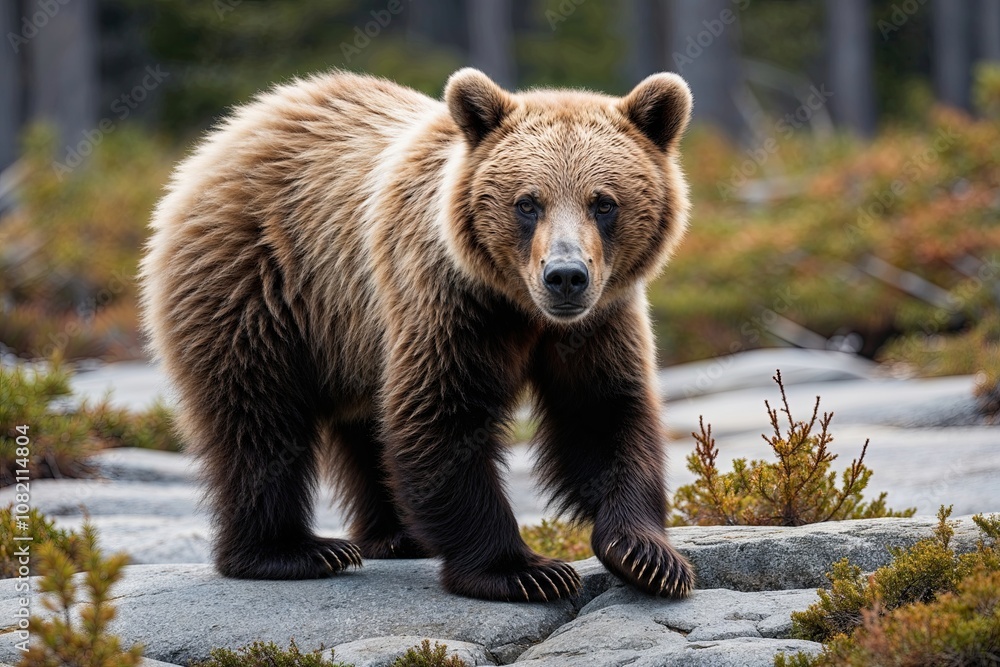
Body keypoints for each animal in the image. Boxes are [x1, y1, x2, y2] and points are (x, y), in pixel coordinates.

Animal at [139, 67, 695, 602]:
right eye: (527, 203)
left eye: (603, 203)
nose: (565, 275)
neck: (520, 308)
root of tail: (224, 137)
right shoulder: (446, 298)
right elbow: (442, 415)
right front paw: (526, 571)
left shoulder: (600, 319)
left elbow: (603, 412)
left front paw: (649, 557)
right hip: (259, 281)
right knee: (258, 417)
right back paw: (292, 550)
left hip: (350, 338)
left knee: (366, 426)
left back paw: (394, 536)